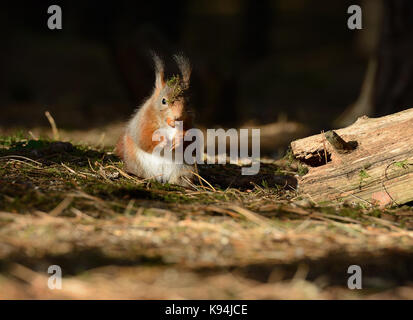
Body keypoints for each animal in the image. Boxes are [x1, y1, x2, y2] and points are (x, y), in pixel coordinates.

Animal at [115, 53, 194, 186]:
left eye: (188, 102)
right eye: (163, 101)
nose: (177, 117)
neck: (168, 125)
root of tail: (161, 178)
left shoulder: (190, 124)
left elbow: (192, 140)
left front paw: (179, 139)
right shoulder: (142, 122)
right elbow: (144, 137)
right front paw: (162, 140)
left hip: (186, 167)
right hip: (136, 162)